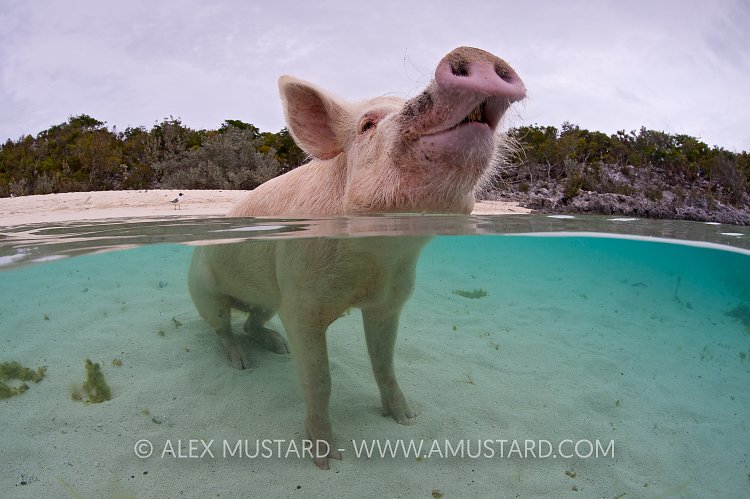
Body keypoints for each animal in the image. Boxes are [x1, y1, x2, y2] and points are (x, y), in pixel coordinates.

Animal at [188, 46, 525, 469]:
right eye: (367, 124)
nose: (475, 53)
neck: (375, 261)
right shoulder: (299, 303)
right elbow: (319, 380)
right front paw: (326, 459)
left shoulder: (390, 299)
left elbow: (384, 363)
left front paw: (408, 419)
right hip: (203, 288)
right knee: (224, 330)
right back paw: (242, 364)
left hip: (266, 298)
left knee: (252, 322)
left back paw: (277, 347)